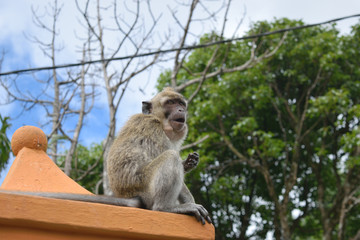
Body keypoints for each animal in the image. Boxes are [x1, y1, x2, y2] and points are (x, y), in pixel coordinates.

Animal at [0, 87, 211, 225]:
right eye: (170, 103)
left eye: (181, 103)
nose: (181, 110)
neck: (157, 119)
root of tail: (128, 194)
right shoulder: (154, 129)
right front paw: (191, 203)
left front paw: (190, 163)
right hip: (145, 188)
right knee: (169, 158)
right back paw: (165, 208)